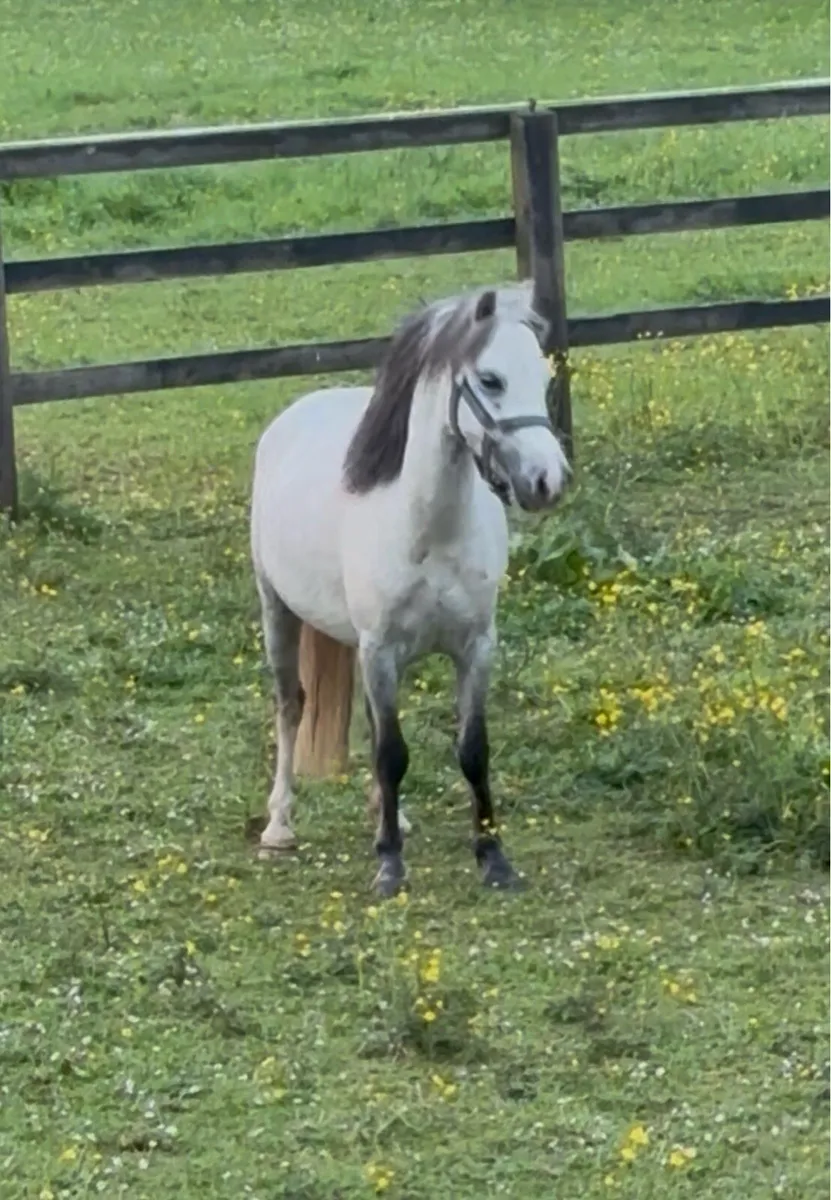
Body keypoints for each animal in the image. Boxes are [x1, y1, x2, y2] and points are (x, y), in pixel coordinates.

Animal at [250, 283, 569, 897]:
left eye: (544, 377)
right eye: (490, 379)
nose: (548, 481)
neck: (428, 531)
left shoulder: (476, 647)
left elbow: (471, 750)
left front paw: (493, 859)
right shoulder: (381, 650)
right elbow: (392, 753)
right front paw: (390, 866)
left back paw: (387, 814)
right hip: (278, 611)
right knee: (291, 706)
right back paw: (279, 826)